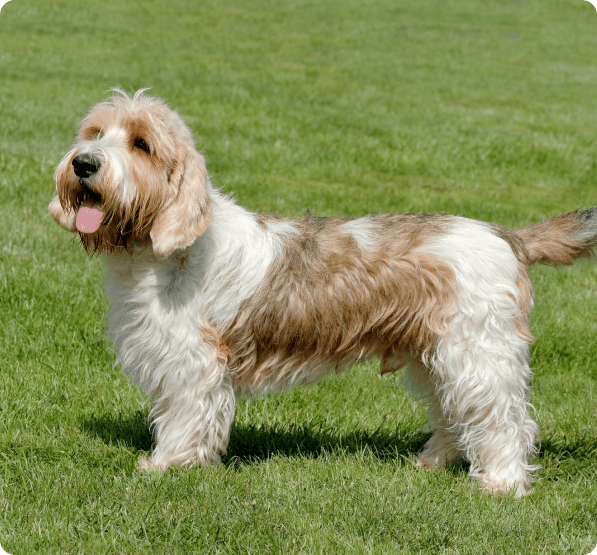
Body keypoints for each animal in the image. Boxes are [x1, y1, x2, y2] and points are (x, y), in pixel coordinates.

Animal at [51, 90, 596, 500]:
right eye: (95, 133)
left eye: (141, 144)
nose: (83, 164)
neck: (166, 253)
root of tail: (508, 235)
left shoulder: (192, 364)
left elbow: (183, 418)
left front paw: (166, 465)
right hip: (435, 354)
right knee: (455, 413)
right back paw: (433, 460)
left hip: (478, 353)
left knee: (505, 419)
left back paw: (502, 483)